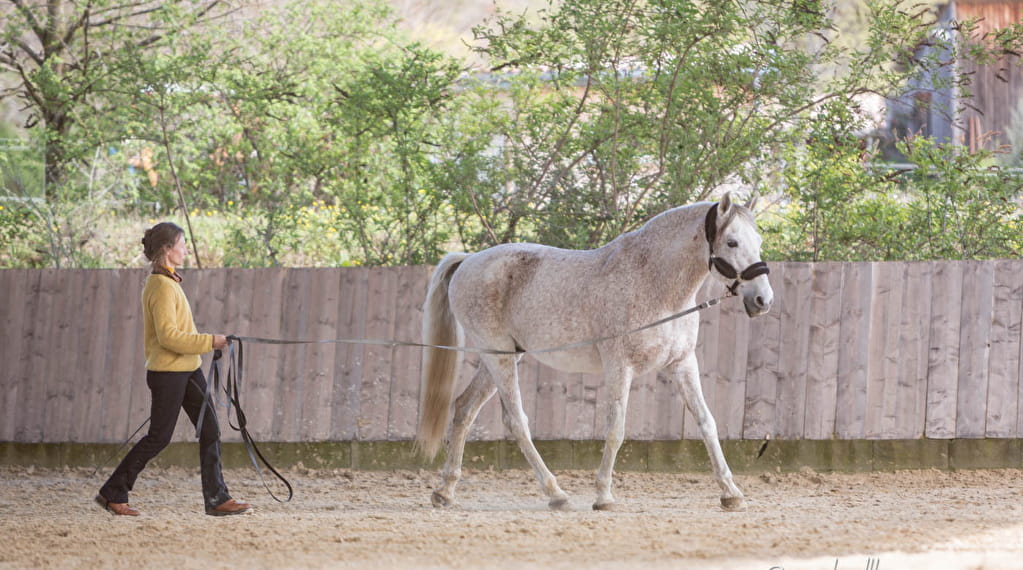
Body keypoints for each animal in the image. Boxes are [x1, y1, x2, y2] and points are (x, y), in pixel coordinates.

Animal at [415, 192, 773, 511]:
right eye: (732, 243)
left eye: (758, 240)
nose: (763, 300)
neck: (654, 283)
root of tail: (468, 260)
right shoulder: (619, 367)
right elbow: (615, 429)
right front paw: (603, 496)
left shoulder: (682, 364)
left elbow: (706, 422)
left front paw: (731, 493)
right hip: (499, 357)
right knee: (515, 420)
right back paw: (556, 494)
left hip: (502, 356)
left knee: (464, 409)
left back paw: (445, 491)